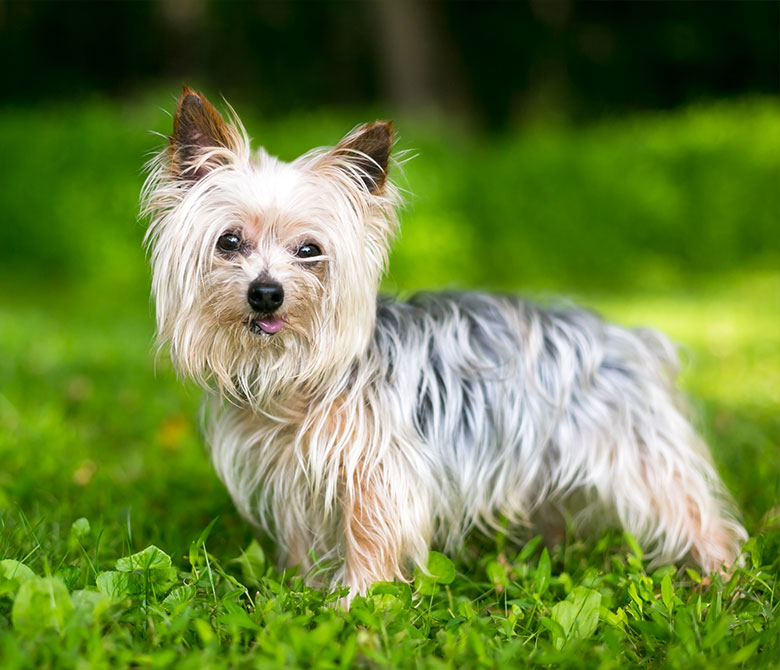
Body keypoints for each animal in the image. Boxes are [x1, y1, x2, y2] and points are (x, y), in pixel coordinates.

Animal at [143, 86, 748, 600]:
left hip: (636, 452)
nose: (266, 293)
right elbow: (300, 536)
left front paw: (358, 600)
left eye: (309, 250)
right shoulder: (292, 471)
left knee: (694, 510)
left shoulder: (377, 472)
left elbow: (370, 535)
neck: (295, 376)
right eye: (229, 242)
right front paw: (302, 588)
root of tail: (624, 336)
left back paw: (724, 576)